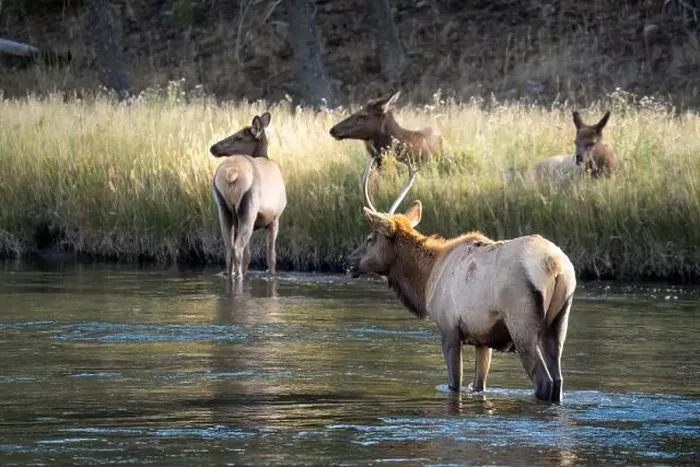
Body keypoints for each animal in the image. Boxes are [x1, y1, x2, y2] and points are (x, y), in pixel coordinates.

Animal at [210, 112, 287, 280]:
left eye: (239, 137)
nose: (213, 147)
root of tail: (231, 173)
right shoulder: (275, 218)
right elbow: (271, 256)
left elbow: (248, 255)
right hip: (248, 207)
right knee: (237, 248)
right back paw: (238, 276)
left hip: (224, 210)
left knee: (229, 249)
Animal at [345, 157, 577, 403]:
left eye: (370, 238)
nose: (349, 261)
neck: (426, 279)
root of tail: (556, 266)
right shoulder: (482, 339)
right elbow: (478, 385)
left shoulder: (449, 328)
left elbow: (454, 384)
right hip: (559, 321)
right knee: (558, 380)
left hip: (521, 322)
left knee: (544, 381)